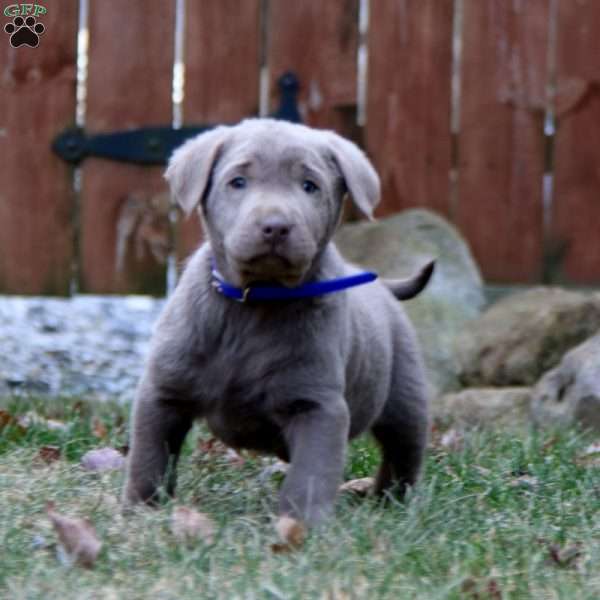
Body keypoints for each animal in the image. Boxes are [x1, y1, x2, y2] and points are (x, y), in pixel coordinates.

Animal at [122, 117, 432, 524]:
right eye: (238, 182)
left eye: (309, 186)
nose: (276, 226)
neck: (256, 301)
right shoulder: (163, 390)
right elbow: (149, 456)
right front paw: (141, 510)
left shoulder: (319, 406)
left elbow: (310, 474)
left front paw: (300, 525)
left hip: (405, 396)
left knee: (402, 453)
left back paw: (388, 501)